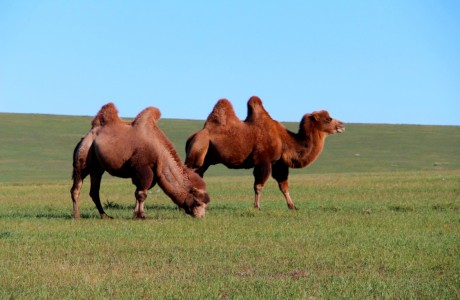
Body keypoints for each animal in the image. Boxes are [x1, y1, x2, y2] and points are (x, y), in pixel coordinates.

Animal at [71, 102, 211, 218]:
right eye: (198, 202)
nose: (201, 216)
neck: (159, 152)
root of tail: (88, 136)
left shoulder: (150, 174)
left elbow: (140, 192)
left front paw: (137, 214)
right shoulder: (143, 168)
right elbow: (141, 194)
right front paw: (141, 215)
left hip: (97, 168)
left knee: (94, 191)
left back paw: (105, 215)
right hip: (83, 157)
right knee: (76, 188)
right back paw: (77, 216)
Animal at [185, 97, 344, 210]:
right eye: (328, 118)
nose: (342, 125)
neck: (284, 139)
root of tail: (191, 137)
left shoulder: (279, 163)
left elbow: (283, 185)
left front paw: (292, 206)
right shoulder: (264, 161)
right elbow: (259, 185)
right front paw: (257, 206)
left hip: (205, 161)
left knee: (197, 176)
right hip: (197, 154)